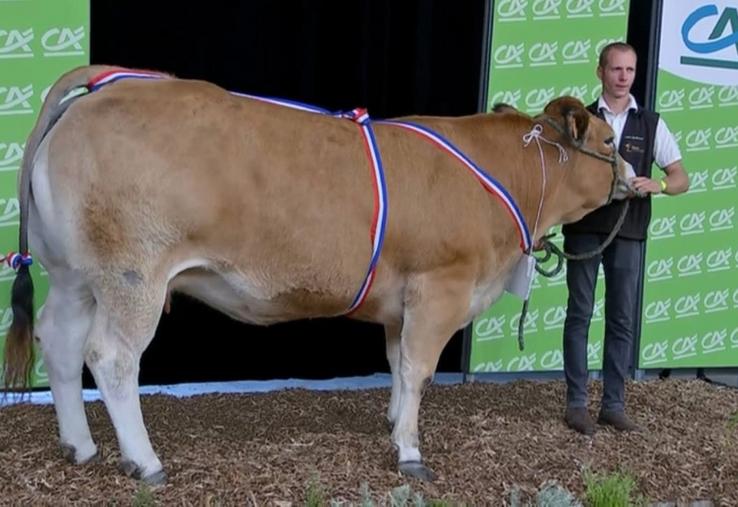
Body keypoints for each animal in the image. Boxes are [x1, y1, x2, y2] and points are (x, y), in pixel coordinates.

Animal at [3, 65, 634, 484]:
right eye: (609, 140)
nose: (635, 176)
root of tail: (104, 88)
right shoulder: (441, 286)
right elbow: (419, 369)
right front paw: (410, 452)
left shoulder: (403, 299)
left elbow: (397, 364)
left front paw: (392, 422)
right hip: (133, 275)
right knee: (111, 356)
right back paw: (144, 461)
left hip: (75, 275)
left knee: (59, 341)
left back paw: (79, 446)